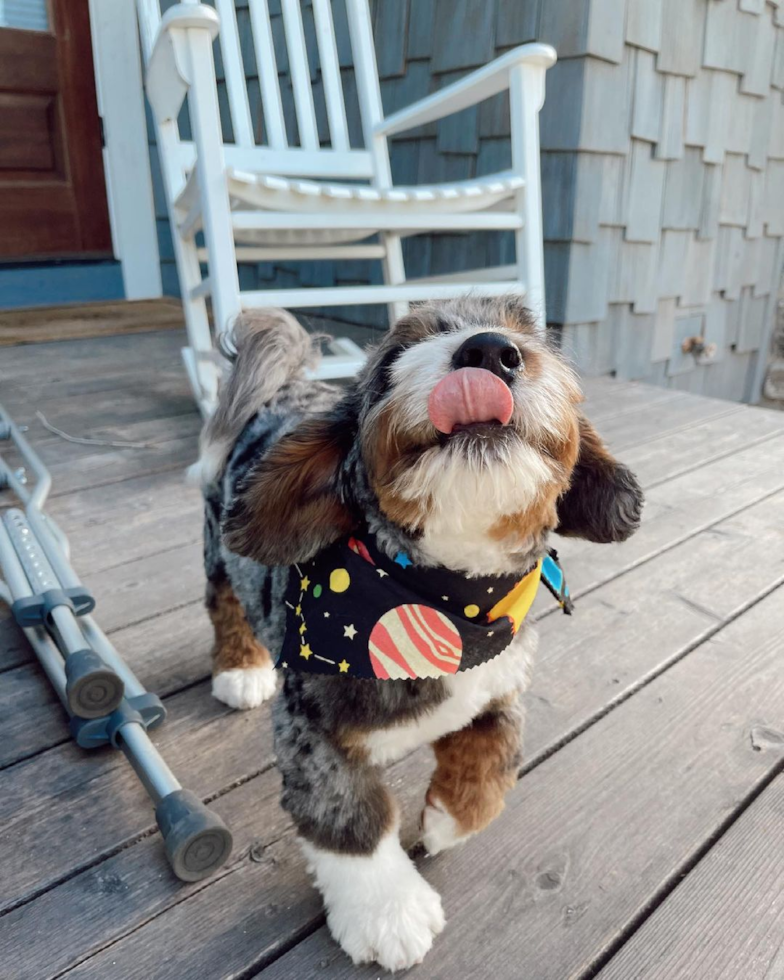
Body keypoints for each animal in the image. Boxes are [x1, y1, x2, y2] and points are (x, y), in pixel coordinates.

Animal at [196, 294, 644, 968]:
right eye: (396, 355)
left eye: (528, 334)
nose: (490, 351)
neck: (442, 600)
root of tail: (282, 390)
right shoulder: (312, 732)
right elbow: (350, 819)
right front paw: (389, 912)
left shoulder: (500, 679)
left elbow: (498, 753)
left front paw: (447, 817)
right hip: (218, 545)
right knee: (224, 600)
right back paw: (240, 669)